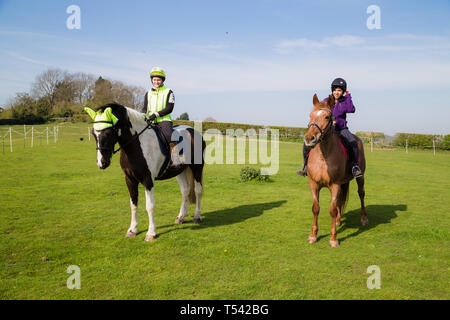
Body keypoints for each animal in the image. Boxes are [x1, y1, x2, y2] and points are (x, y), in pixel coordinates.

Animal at [87, 104, 206, 241]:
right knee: (185, 191)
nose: (101, 162)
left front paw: (151, 233)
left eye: (108, 132)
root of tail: (194, 131)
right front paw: (132, 230)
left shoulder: (148, 180)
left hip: (197, 168)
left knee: (197, 190)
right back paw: (181, 217)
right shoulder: (130, 180)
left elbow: (150, 206)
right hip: (180, 171)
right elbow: (133, 205)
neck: (137, 145)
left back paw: (197, 216)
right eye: (93, 133)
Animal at [304, 94, 368, 248]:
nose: (309, 138)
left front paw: (333, 239)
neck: (323, 157)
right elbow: (316, 208)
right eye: (310, 115)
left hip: (360, 177)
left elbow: (332, 210)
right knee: (340, 200)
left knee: (361, 194)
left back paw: (364, 218)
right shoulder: (314, 184)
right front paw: (313, 236)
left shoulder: (335, 185)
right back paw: (339, 221)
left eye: (327, 117)